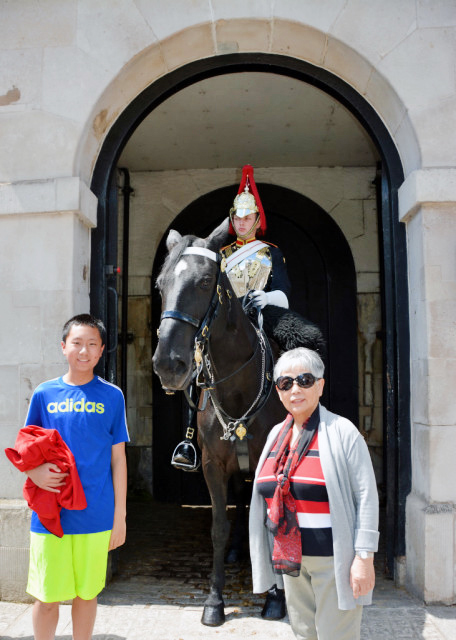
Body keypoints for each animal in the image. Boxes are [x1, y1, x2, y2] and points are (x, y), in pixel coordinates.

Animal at [152, 219, 287, 626]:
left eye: (203, 281)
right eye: (160, 285)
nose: (168, 364)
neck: (238, 386)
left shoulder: (268, 466)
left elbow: (268, 524)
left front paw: (275, 598)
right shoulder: (213, 465)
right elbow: (218, 528)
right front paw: (214, 601)